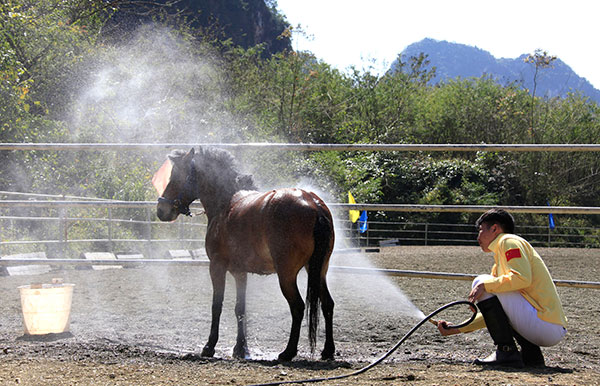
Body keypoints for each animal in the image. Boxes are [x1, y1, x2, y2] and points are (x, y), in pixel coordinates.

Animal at [155, 146, 336, 360]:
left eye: (176, 176)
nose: (161, 209)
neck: (227, 203)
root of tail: (313, 204)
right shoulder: (240, 272)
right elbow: (240, 309)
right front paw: (241, 348)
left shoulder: (216, 267)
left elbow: (217, 305)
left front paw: (209, 346)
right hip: (318, 271)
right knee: (328, 304)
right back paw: (328, 350)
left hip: (287, 275)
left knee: (298, 307)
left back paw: (288, 352)